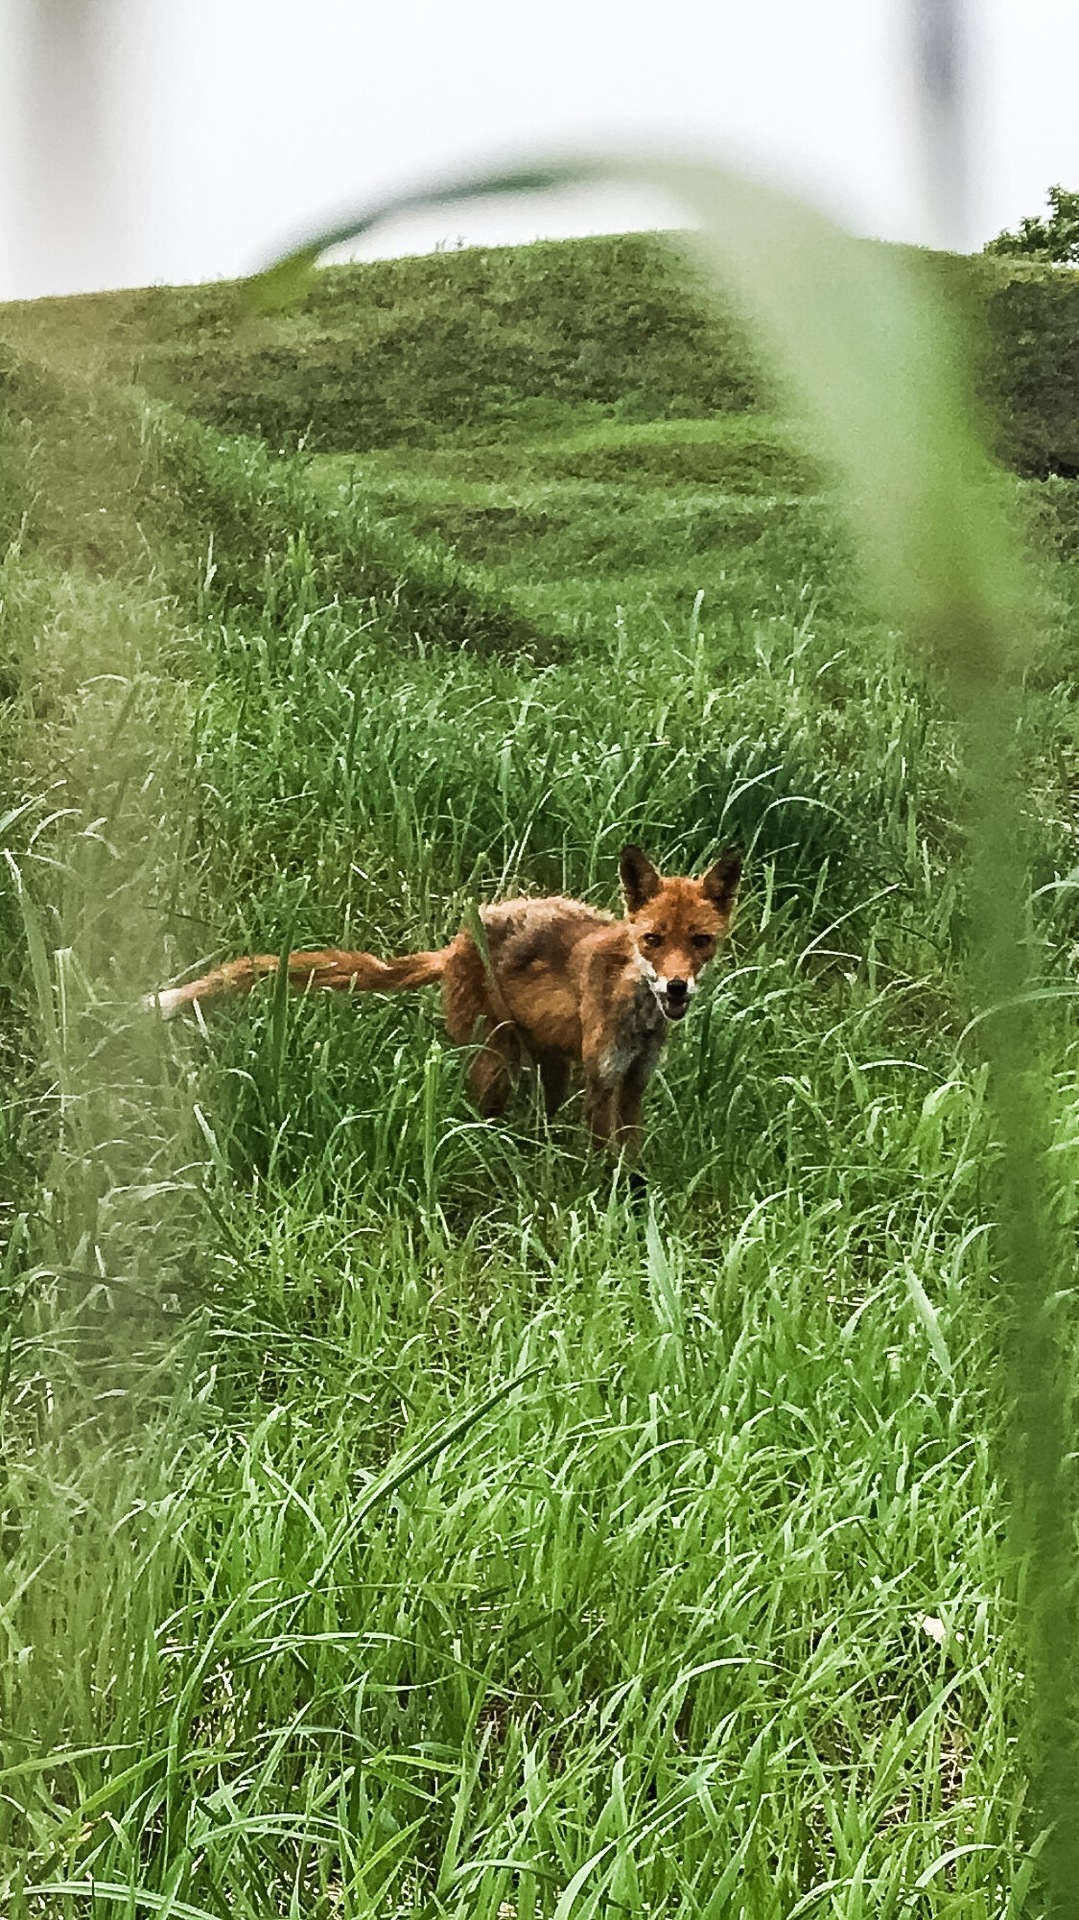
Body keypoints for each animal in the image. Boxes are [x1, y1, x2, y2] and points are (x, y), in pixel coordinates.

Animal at [146, 844, 737, 1152]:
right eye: (652, 940)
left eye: (700, 942)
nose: (677, 987)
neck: (639, 1019)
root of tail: (455, 943)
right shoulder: (603, 1078)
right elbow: (606, 1158)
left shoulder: (634, 1081)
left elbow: (631, 1156)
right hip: (494, 1062)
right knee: (486, 1113)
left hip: (547, 1061)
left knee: (541, 1114)